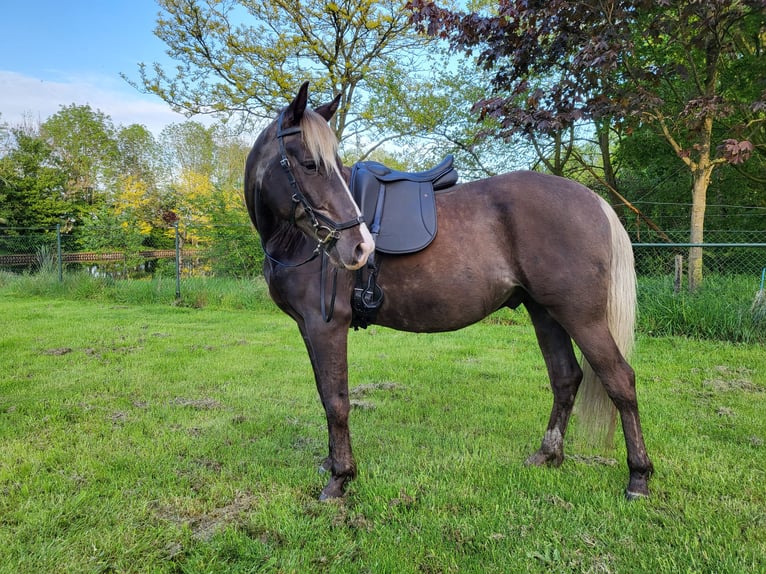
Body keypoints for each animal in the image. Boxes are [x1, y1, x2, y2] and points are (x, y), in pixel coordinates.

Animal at [244, 82, 653, 501]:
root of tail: (593, 199)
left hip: (581, 317)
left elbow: (336, 400)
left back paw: (638, 477)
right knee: (566, 377)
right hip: (545, 312)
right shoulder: (307, 327)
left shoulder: (326, 325)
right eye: (310, 164)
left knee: (620, 380)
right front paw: (330, 463)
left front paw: (340, 477)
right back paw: (548, 454)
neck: (292, 238)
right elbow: (324, 393)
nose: (359, 247)